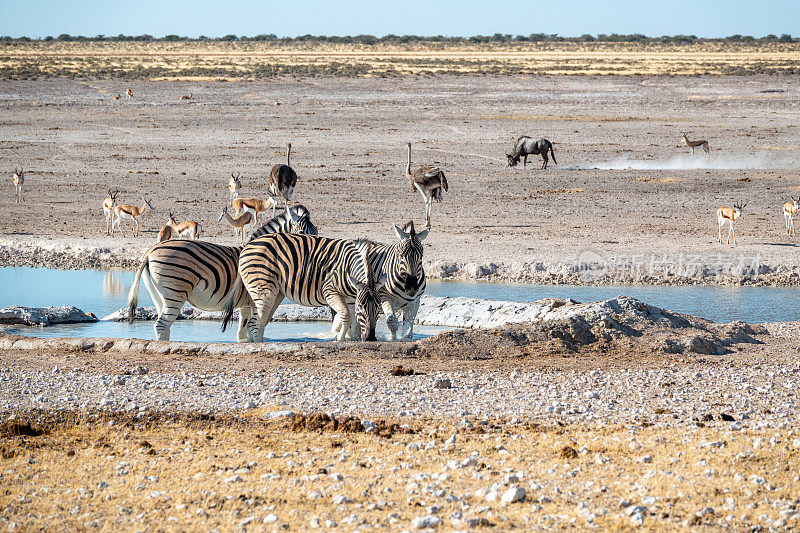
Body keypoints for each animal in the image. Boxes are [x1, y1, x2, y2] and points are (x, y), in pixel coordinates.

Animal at [127, 206, 316, 342]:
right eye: (301, 235)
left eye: (316, 233)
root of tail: (150, 251)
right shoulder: (255, 300)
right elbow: (254, 329)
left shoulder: (247, 304)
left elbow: (243, 333)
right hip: (175, 291)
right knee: (162, 325)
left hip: (158, 295)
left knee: (162, 325)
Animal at [223, 235, 386, 342]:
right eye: (362, 307)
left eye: (379, 308)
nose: (371, 338)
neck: (348, 267)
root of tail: (248, 246)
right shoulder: (330, 291)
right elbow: (346, 315)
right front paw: (339, 339)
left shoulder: (352, 299)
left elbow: (354, 323)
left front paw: (354, 339)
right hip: (264, 289)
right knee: (255, 322)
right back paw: (259, 345)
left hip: (276, 293)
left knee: (257, 322)